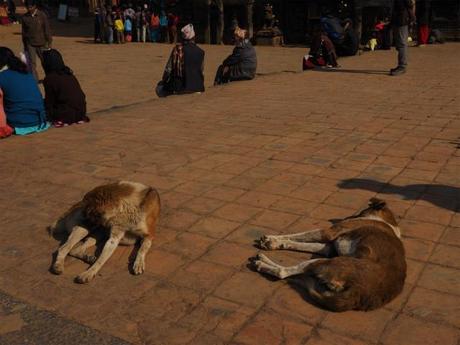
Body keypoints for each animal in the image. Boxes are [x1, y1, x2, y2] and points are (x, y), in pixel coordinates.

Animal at [252, 196, 406, 312]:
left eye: (361, 211)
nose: (347, 217)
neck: (387, 222)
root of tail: (358, 294)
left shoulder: (327, 233)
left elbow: (299, 235)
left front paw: (272, 239)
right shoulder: (329, 249)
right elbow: (300, 242)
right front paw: (275, 243)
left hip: (328, 262)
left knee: (284, 272)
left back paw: (263, 263)